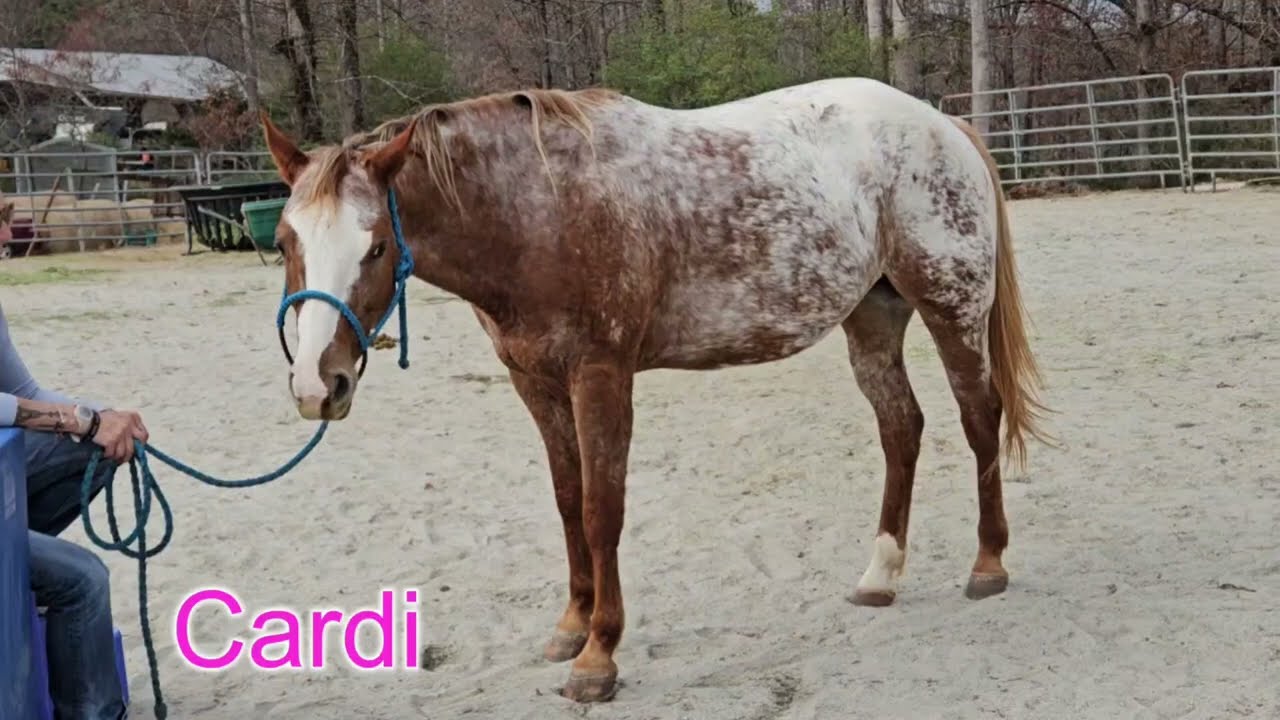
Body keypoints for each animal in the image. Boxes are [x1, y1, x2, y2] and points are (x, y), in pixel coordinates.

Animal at [259, 76, 1053, 702]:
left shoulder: (600, 376)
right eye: (284, 242)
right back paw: (881, 574)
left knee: (978, 418)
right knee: (901, 428)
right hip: (873, 316)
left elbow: (602, 510)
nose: (317, 384)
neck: (537, 210)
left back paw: (988, 564)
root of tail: (941, 125)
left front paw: (598, 657)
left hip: (951, 308)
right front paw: (571, 626)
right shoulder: (536, 384)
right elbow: (568, 501)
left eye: (375, 246)